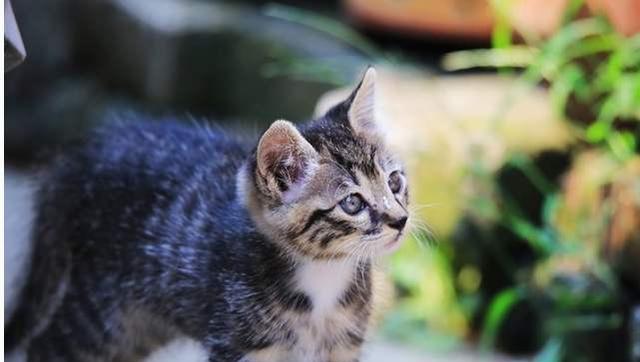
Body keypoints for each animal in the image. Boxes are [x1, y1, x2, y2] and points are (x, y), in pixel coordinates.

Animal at [6, 68, 410, 362]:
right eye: (352, 204)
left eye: (395, 182)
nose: (400, 220)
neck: (323, 278)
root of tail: (77, 159)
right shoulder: (241, 346)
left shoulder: (342, 347)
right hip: (100, 316)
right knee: (48, 346)